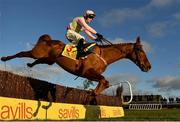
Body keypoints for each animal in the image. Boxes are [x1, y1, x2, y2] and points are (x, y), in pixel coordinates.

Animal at [0, 34, 151, 95]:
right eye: (140, 50)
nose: (148, 66)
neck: (103, 55)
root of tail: (48, 40)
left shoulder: (91, 75)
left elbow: (105, 82)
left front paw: (94, 93)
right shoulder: (86, 72)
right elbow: (104, 80)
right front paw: (94, 92)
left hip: (48, 60)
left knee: (36, 61)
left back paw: (30, 65)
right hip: (36, 53)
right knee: (21, 53)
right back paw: (5, 58)